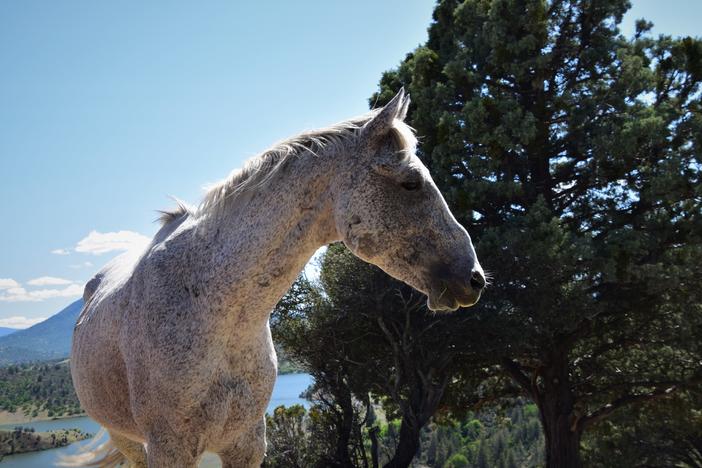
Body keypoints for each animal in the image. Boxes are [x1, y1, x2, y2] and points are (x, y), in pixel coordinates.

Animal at [69, 89, 484, 466]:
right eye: (411, 183)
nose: (474, 278)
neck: (210, 307)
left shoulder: (247, 443)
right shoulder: (169, 448)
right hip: (127, 441)